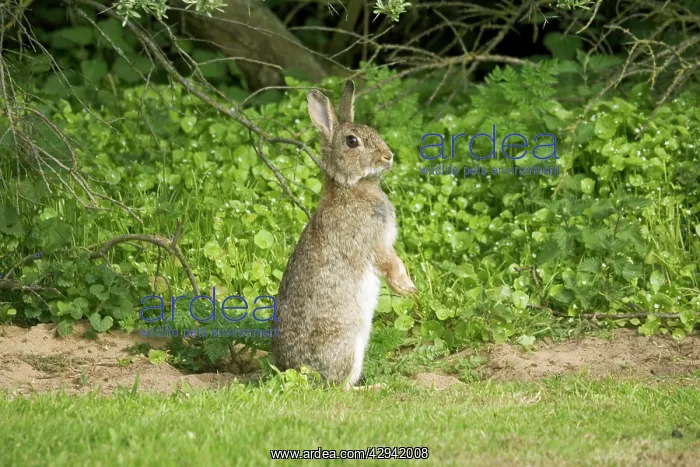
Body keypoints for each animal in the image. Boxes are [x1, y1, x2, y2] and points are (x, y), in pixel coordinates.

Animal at [271, 80, 417, 390]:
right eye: (352, 142)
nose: (388, 156)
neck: (350, 186)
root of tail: (300, 374)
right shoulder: (373, 241)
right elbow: (390, 263)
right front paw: (406, 289)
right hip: (348, 343)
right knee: (341, 388)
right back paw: (374, 388)